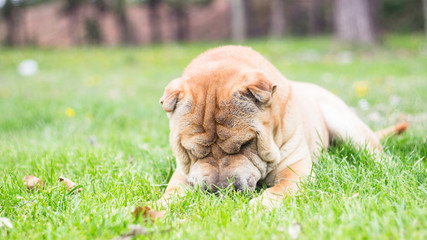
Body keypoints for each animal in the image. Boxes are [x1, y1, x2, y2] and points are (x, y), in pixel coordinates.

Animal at [156, 45, 408, 208]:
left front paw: (257, 207)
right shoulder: (182, 173)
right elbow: (172, 192)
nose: (220, 191)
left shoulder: (295, 172)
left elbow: (278, 191)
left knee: (376, 153)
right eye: (191, 151)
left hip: (346, 124)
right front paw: (157, 208)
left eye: (246, 144)